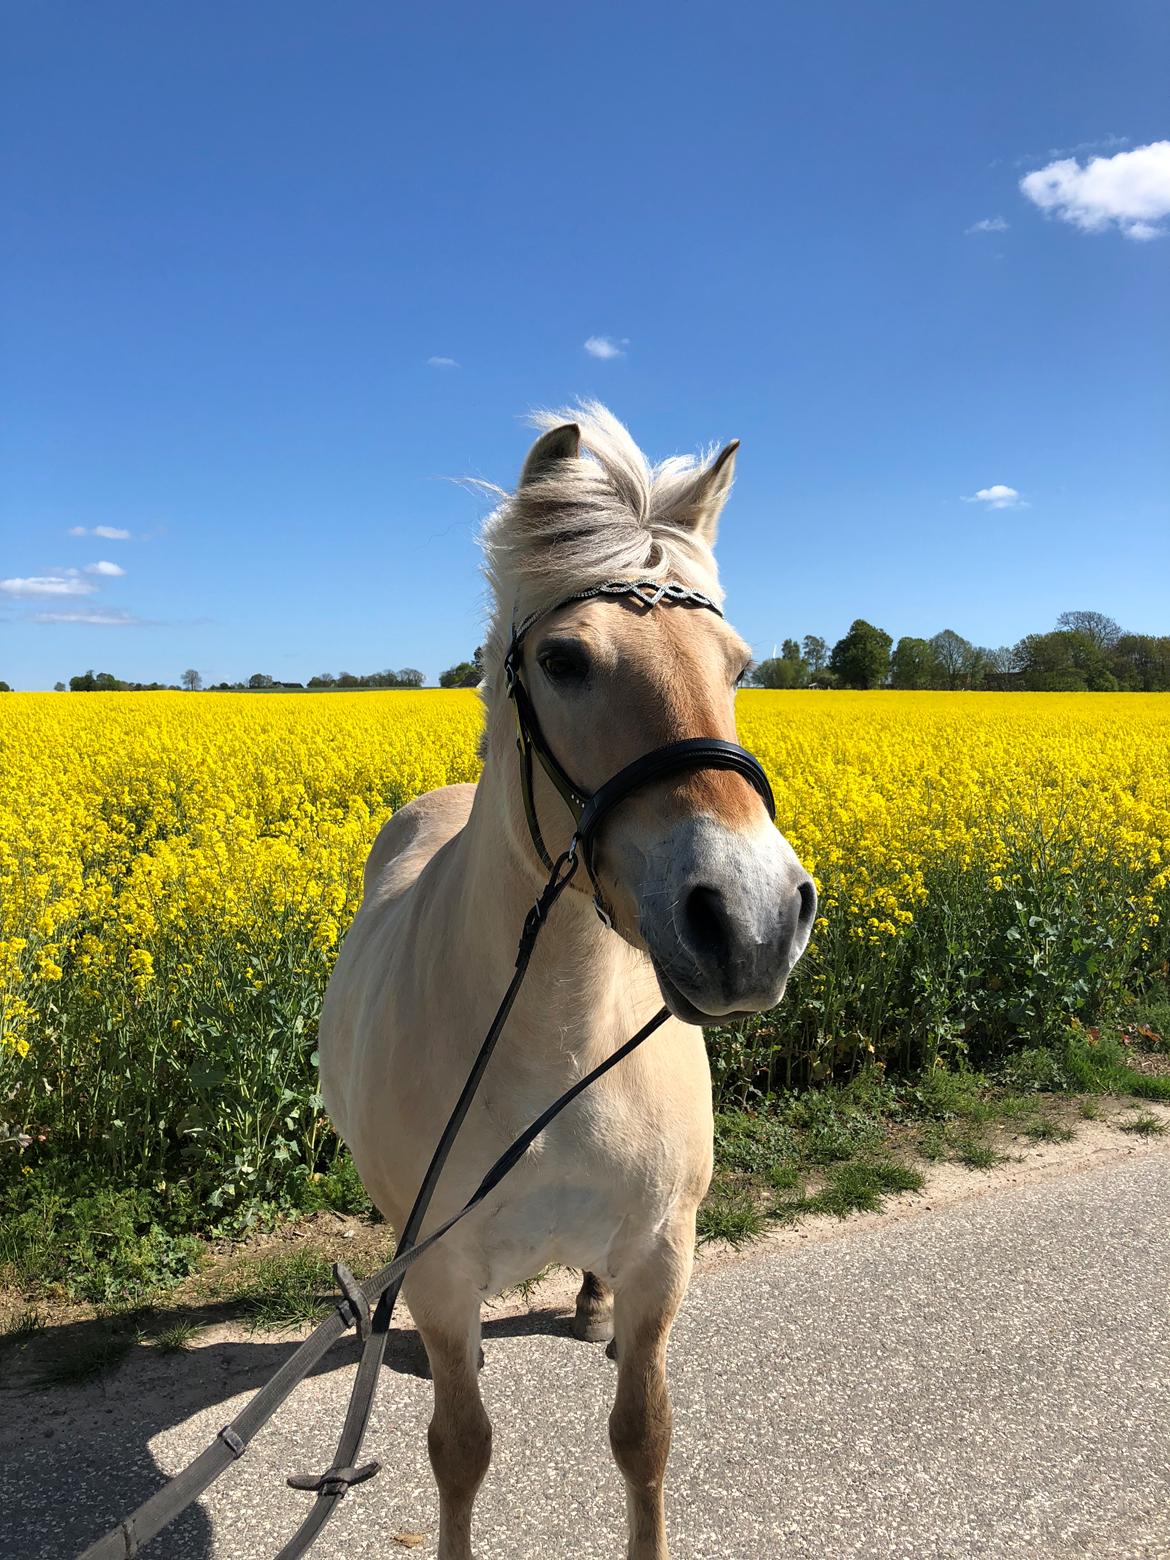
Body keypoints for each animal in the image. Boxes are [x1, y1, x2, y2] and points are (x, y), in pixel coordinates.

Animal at [318, 405, 817, 1560]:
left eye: (739, 663)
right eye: (563, 658)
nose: (752, 921)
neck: (557, 1037)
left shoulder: (663, 1256)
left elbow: (645, 1437)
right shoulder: (444, 1280)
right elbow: (461, 1450)